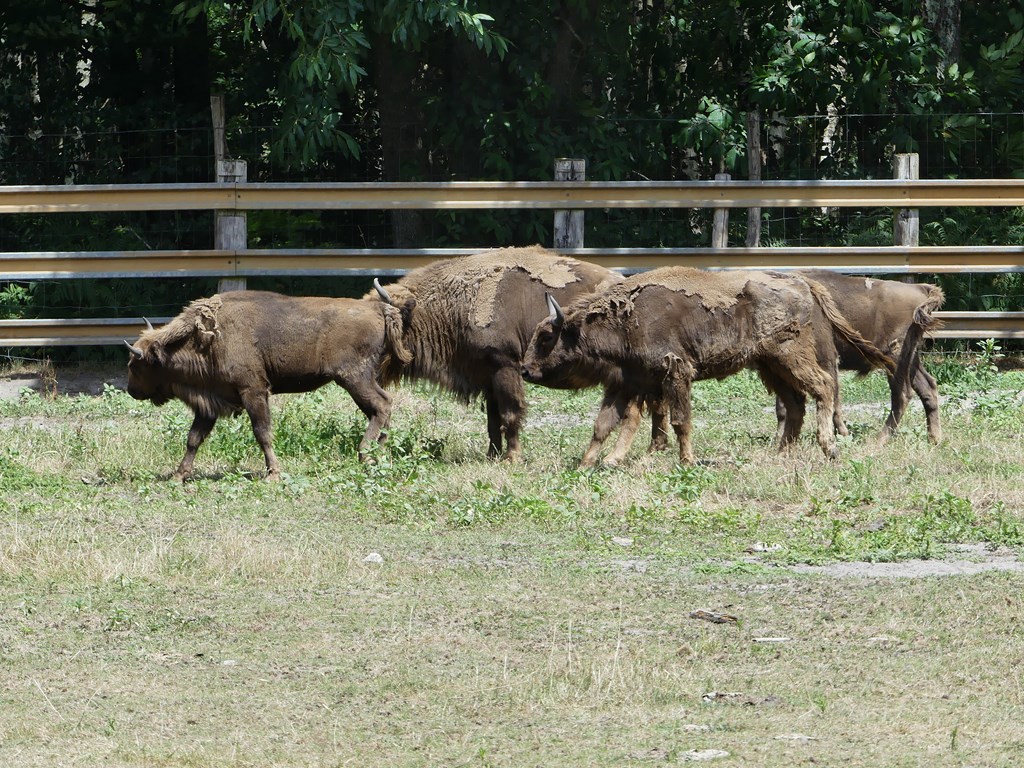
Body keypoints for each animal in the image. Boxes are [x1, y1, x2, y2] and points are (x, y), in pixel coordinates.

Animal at [125, 289, 414, 480]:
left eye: (136, 366)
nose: (132, 391)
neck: (209, 338)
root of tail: (379, 309)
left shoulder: (253, 391)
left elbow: (262, 432)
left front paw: (273, 473)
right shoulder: (209, 404)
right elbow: (194, 438)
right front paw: (179, 475)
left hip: (354, 378)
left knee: (381, 406)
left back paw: (365, 455)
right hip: (359, 381)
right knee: (381, 409)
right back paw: (378, 455)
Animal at [522, 267, 895, 466]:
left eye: (546, 337)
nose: (525, 370)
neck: (628, 318)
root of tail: (803, 283)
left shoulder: (677, 374)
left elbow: (680, 421)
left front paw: (686, 460)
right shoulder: (627, 383)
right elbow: (603, 424)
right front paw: (586, 464)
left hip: (790, 357)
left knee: (822, 387)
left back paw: (829, 447)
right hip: (769, 365)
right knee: (795, 404)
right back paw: (781, 452)